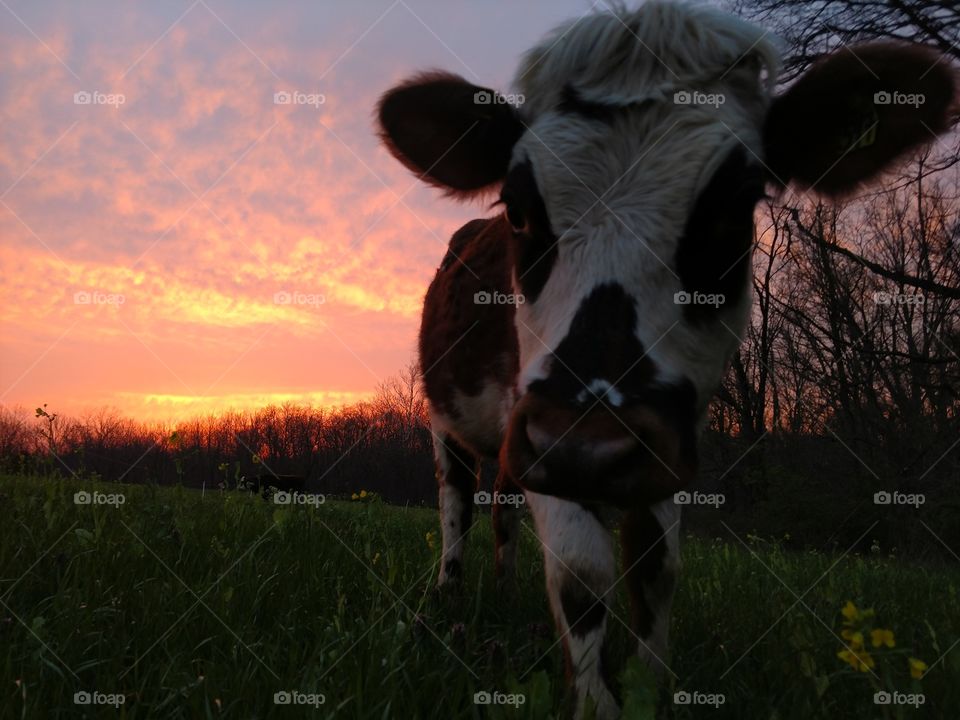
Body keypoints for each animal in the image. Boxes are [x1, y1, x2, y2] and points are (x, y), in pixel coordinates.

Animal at [376, 2, 952, 716]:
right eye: (518, 208)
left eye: (736, 206)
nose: (593, 441)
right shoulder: (544, 432)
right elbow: (580, 570)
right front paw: (596, 700)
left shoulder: (665, 438)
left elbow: (655, 565)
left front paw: (654, 684)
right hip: (449, 419)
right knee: (456, 498)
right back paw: (450, 591)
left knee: (503, 504)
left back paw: (505, 587)